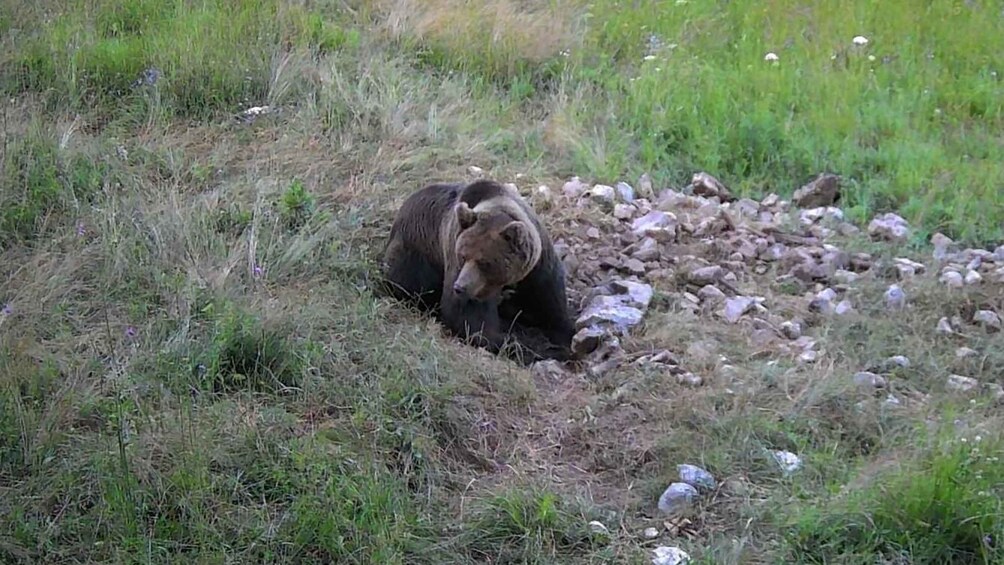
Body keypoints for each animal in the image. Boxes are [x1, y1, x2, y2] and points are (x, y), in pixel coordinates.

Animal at [379, 178, 578, 365]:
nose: (460, 287)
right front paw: (524, 344)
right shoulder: (455, 254)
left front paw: (561, 338)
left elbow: (550, 303)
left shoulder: (537, 267)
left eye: (485, 263)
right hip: (415, 253)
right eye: (462, 256)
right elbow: (470, 318)